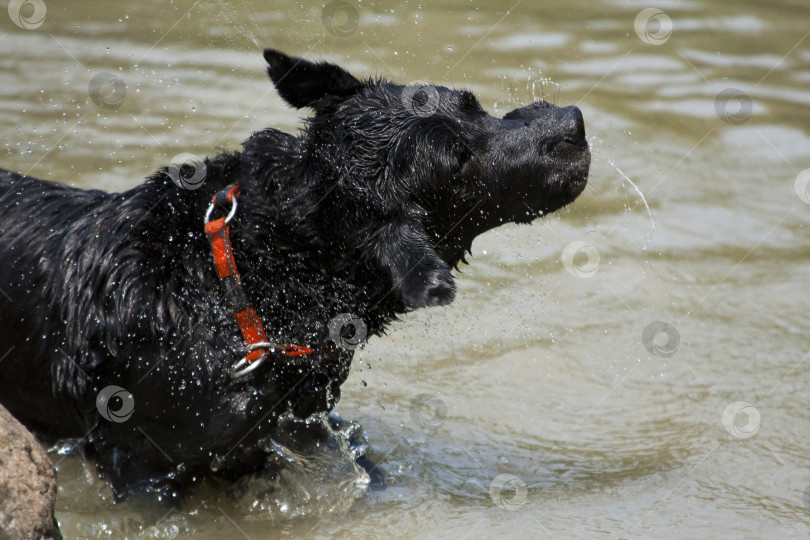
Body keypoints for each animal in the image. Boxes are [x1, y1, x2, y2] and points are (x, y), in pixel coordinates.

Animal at [0, 50, 584, 502]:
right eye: (459, 160)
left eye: (475, 106)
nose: (574, 122)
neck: (235, 288)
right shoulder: (139, 464)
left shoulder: (301, 423)